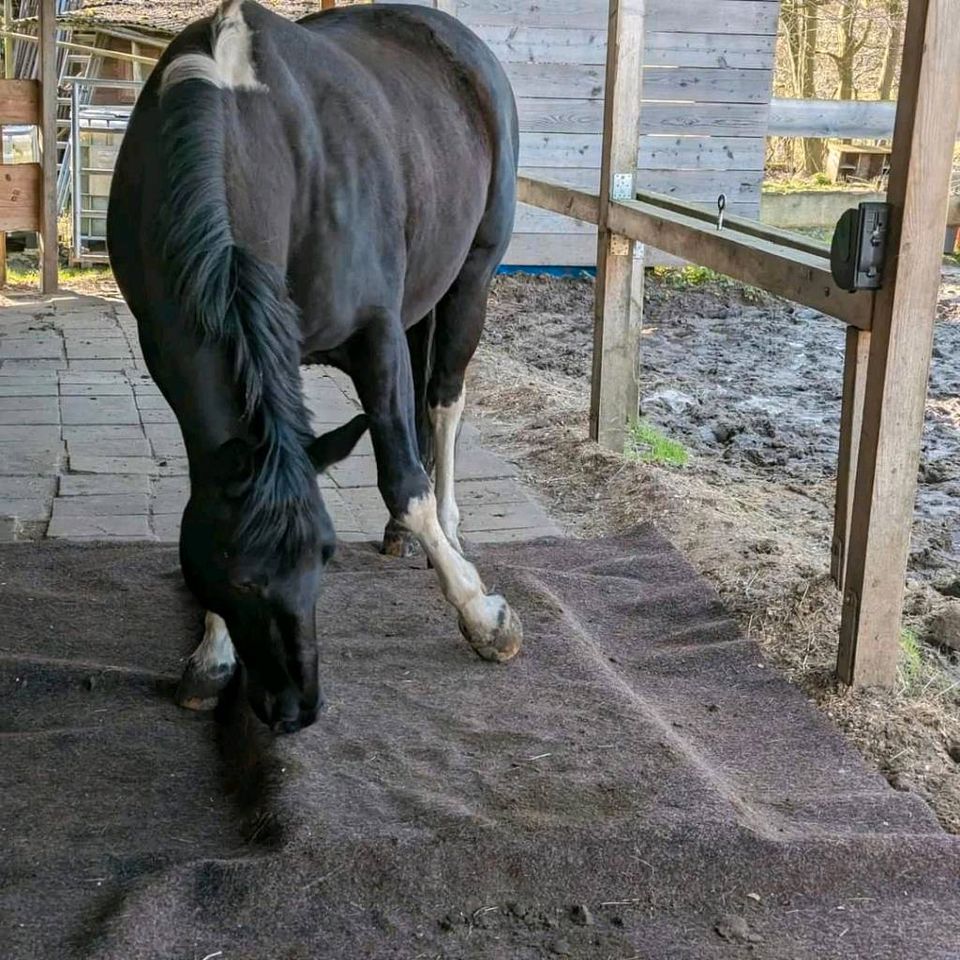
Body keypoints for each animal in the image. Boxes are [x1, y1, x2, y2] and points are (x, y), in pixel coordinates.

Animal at [108, 1, 520, 736]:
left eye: (326, 554)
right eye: (236, 577)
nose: (296, 708)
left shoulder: (374, 336)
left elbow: (403, 481)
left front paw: (483, 616)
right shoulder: (169, 350)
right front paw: (212, 657)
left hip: (472, 279)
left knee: (442, 402)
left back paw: (451, 529)